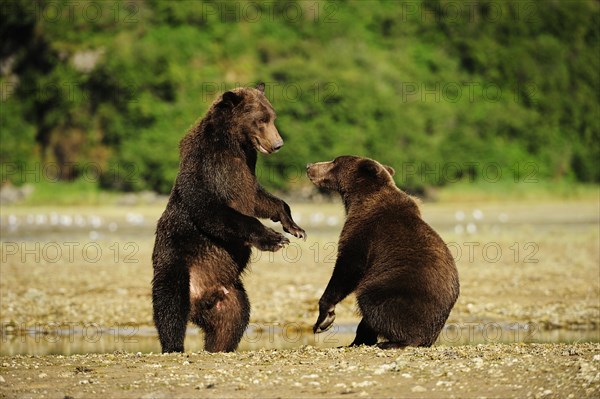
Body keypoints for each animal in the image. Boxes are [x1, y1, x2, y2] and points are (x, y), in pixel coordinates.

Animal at [154, 82, 304, 354]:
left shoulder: (246, 170)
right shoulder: (206, 169)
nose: (278, 143)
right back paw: (174, 345)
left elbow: (261, 199)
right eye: (261, 119)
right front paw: (275, 239)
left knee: (233, 320)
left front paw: (294, 227)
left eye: (273, 116)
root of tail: (199, 300)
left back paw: (219, 346)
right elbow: (214, 211)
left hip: (230, 293)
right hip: (177, 263)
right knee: (170, 306)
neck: (233, 145)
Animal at [308, 156, 458, 350]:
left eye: (334, 162)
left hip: (395, 289)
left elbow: (348, 268)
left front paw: (324, 318)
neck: (359, 198)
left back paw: (391, 341)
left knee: (371, 302)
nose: (309, 166)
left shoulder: (364, 232)